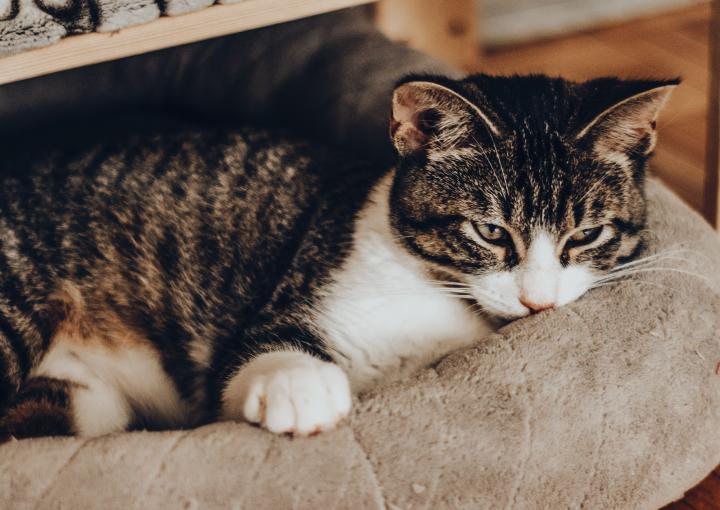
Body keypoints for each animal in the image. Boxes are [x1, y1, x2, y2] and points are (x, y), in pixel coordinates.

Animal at [0, 73, 676, 440]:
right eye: (489, 231)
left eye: (586, 235)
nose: (537, 302)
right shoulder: (293, 293)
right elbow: (256, 353)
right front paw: (303, 389)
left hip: (88, 401)